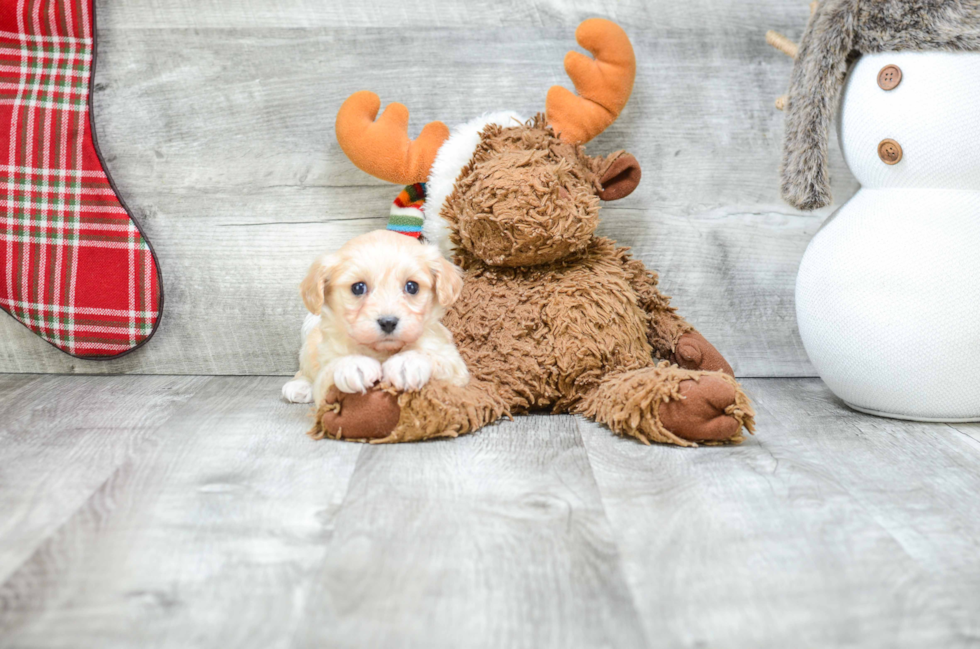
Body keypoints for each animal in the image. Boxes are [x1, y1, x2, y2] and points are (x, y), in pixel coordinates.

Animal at [282, 229, 468, 404]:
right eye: (358, 288)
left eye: (412, 286)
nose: (388, 322)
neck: (382, 351)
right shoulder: (325, 383)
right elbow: (328, 371)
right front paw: (353, 364)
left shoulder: (455, 367)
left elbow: (434, 356)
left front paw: (407, 362)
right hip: (308, 349)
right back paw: (299, 386)